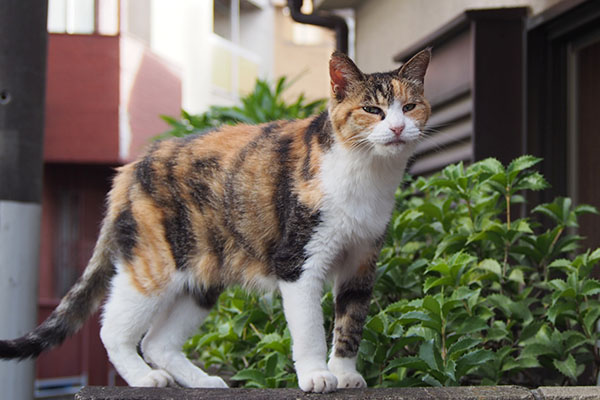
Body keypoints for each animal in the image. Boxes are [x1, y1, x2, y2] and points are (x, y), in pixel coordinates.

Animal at [0, 48, 432, 392]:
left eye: (410, 107)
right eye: (371, 110)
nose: (397, 127)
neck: (365, 174)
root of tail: (130, 168)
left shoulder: (361, 262)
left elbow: (350, 322)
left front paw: (344, 374)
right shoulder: (298, 262)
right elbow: (310, 328)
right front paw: (315, 376)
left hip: (203, 277)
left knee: (158, 342)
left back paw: (202, 381)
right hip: (154, 265)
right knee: (114, 330)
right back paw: (145, 378)